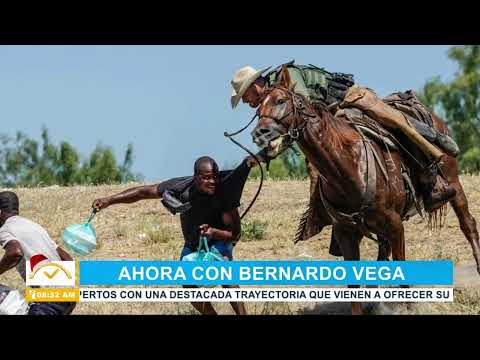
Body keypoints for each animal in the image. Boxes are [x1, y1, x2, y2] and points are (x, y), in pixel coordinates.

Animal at [251, 66, 480, 314]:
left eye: (280, 100)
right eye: (258, 109)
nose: (260, 133)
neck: (348, 166)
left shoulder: (395, 225)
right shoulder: (346, 232)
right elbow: (354, 289)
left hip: (453, 183)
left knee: (468, 224)